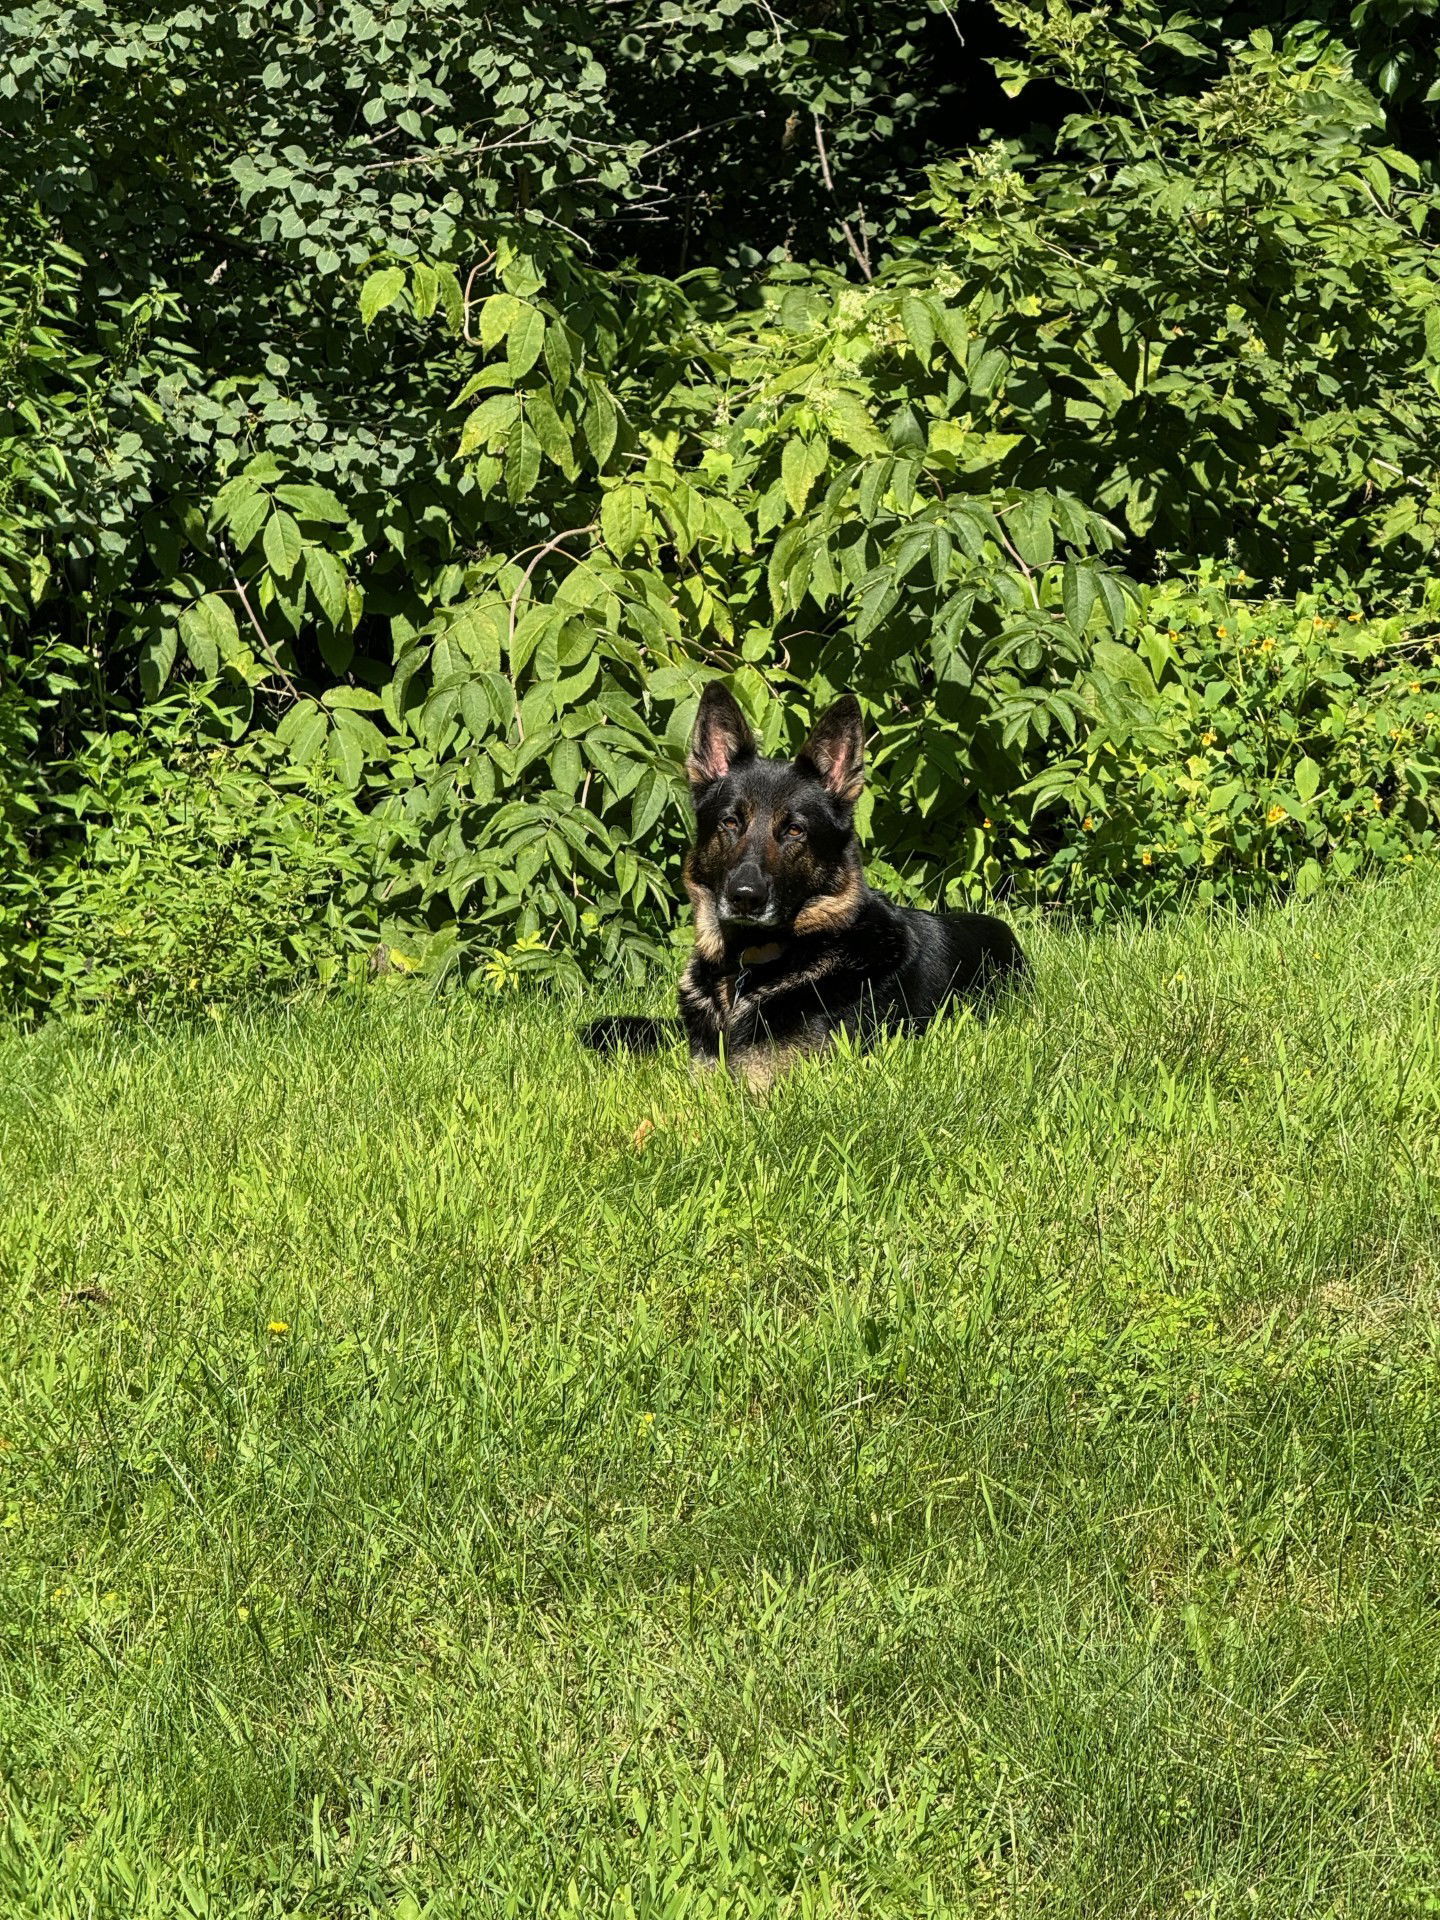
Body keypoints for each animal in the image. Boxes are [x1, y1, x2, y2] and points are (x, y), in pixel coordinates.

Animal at [579, 683, 1029, 1090]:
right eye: (730, 822)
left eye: (794, 830)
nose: (744, 898)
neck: (745, 971)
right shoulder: (703, 1073)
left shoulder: (768, 1088)